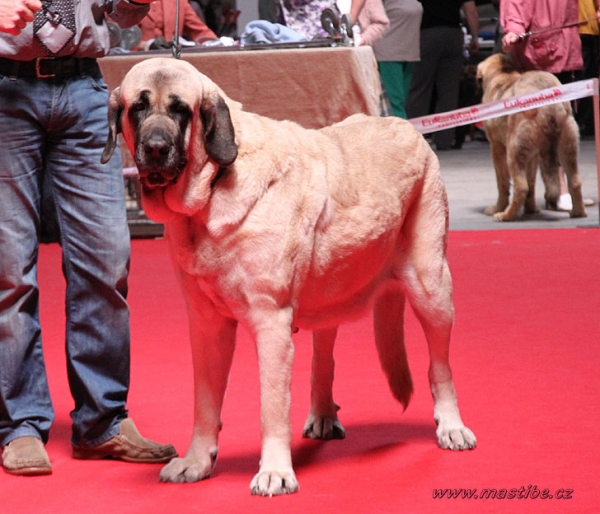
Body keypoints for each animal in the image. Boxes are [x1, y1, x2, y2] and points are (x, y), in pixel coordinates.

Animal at [103, 58, 478, 494]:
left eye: (181, 110)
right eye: (138, 108)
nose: (156, 148)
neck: (214, 185)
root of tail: (404, 126)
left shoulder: (271, 323)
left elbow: (272, 406)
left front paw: (275, 471)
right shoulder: (207, 326)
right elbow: (205, 402)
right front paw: (196, 462)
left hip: (432, 288)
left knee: (440, 367)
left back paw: (451, 425)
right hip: (332, 289)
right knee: (324, 355)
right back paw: (323, 415)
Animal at [478, 52, 584, 220]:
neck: (502, 73)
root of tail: (547, 100)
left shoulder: (497, 148)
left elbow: (503, 183)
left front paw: (497, 208)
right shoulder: (532, 155)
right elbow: (532, 184)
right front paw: (531, 209)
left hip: (513, 150)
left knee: (521, 187)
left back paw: (505, 215)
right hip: (568, 144)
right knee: (574, 181)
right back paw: (578, 212)